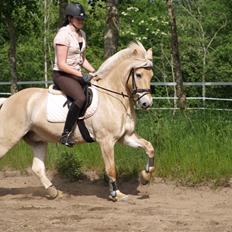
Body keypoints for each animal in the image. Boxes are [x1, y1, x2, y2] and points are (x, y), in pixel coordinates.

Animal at [0, 41, 156, 201]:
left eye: (151, 75)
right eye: (138, 74)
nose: (146, 103)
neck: (114, 98)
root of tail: (8, 101)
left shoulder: (125, 137)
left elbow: (149, 148)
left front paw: (145, 177)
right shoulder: (106, 140)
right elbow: (111, 168)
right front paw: (116, 194)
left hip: (38, 140)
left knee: (37, 168)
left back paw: (54, 192)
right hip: (7, 138)